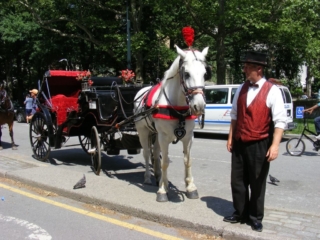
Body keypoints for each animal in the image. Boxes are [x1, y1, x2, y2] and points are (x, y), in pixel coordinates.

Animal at [134, 45, 209, 202]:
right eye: (186, 74)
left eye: (205, 74)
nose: (199, 106)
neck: (177, 107)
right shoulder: (164, 137)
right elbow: (165, 162)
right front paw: (163, 190)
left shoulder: (188, 137)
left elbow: (187, 160)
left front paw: (190, 187)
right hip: (143, 131)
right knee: (146, 153)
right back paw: (148, 177)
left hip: (155, 133)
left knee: (156, 152)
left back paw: (158, 176)